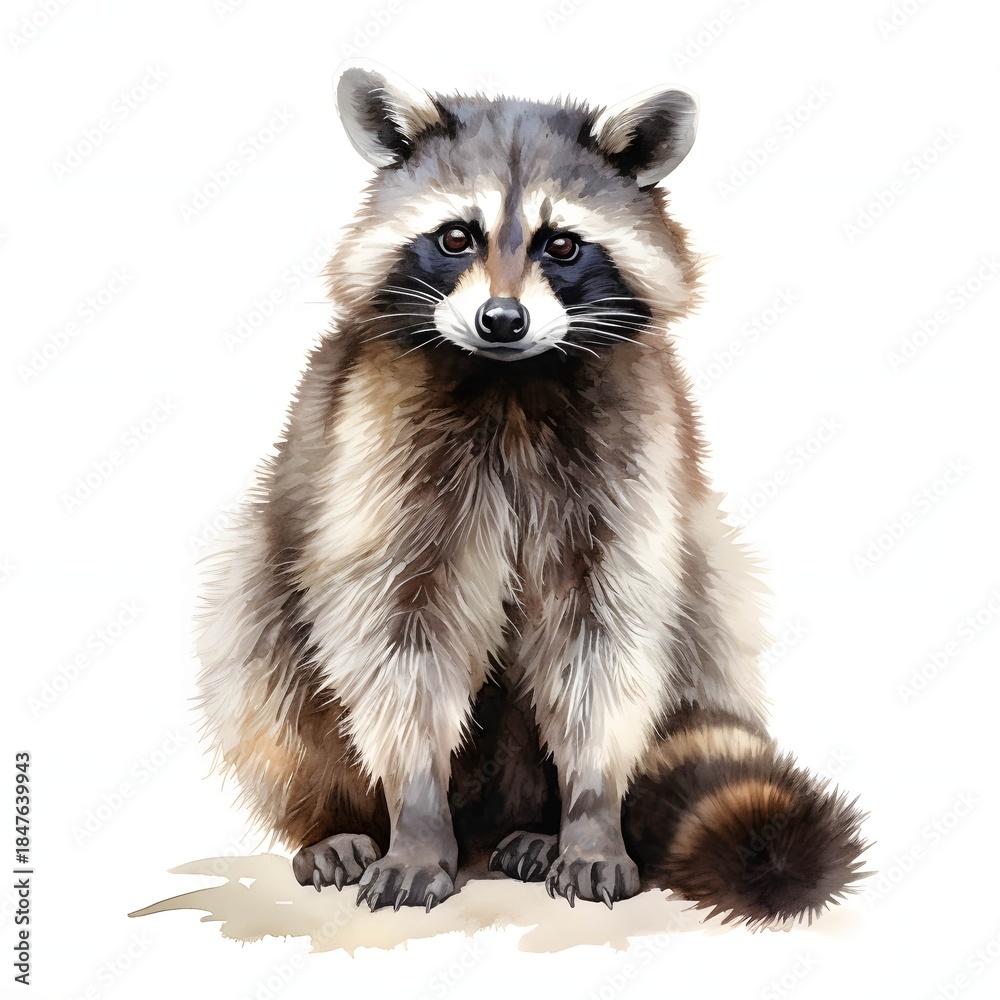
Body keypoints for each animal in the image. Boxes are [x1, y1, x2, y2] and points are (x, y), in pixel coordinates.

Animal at [196, 63, 868, 926]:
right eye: (456, 237)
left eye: (563, 244)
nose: (502, 319)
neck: (509, 378)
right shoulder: (378, 450)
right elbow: (395, 634)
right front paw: (415, 816)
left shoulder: (630, 454)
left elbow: (605, 636)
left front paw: (591, 812)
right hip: (264, 585)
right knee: (262, 656)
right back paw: (337, 822)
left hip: (701, 565)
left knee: (702, 606)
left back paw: (540, 828)